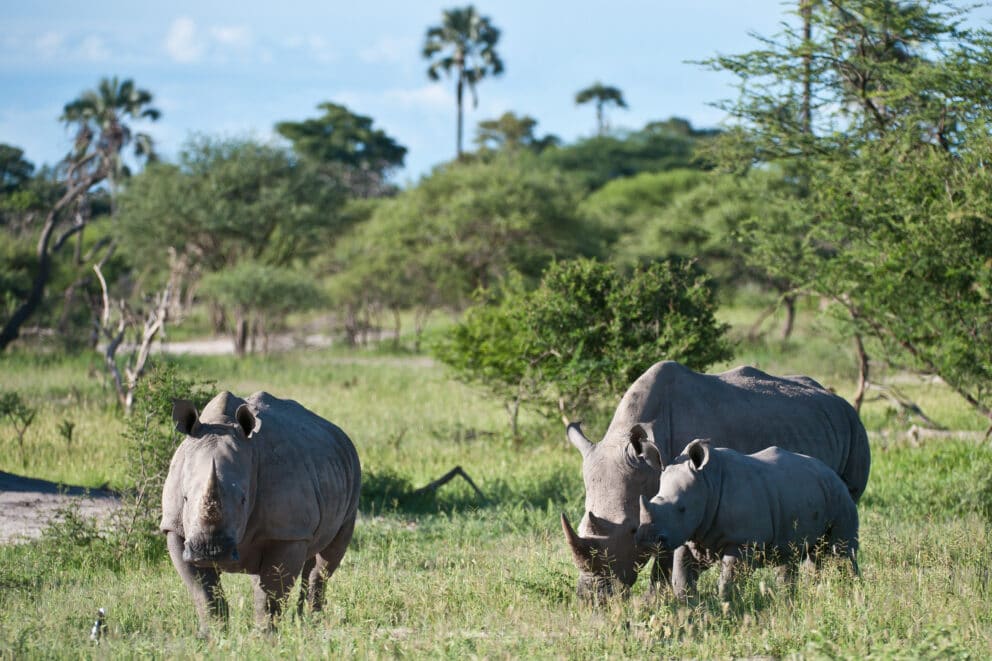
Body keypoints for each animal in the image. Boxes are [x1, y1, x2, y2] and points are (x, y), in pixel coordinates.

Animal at [160, 391, 361, 634]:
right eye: (185, 498)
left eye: (243, 499)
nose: (210, 552)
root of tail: (338, 433)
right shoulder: (175, 528)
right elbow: (202, 590)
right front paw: (214, 634)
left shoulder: (289, 533)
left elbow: (271, 593)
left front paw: (265, 636)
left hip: (352, 478)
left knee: (326, 561)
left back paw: (310, 625)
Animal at [636, 439, 860, 599]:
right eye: (653, 499)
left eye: (682, 509)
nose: (647, 541)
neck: (707, 483)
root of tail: (831, 472)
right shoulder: (691, 535)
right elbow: (681, 578)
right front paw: (690, 606)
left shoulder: (743, 541)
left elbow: (729, 580)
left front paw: (727, 605)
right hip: (804, 490)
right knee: (796, 557)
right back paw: (795, 597)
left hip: (840, 498)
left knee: (841, 552)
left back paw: (851, 593)